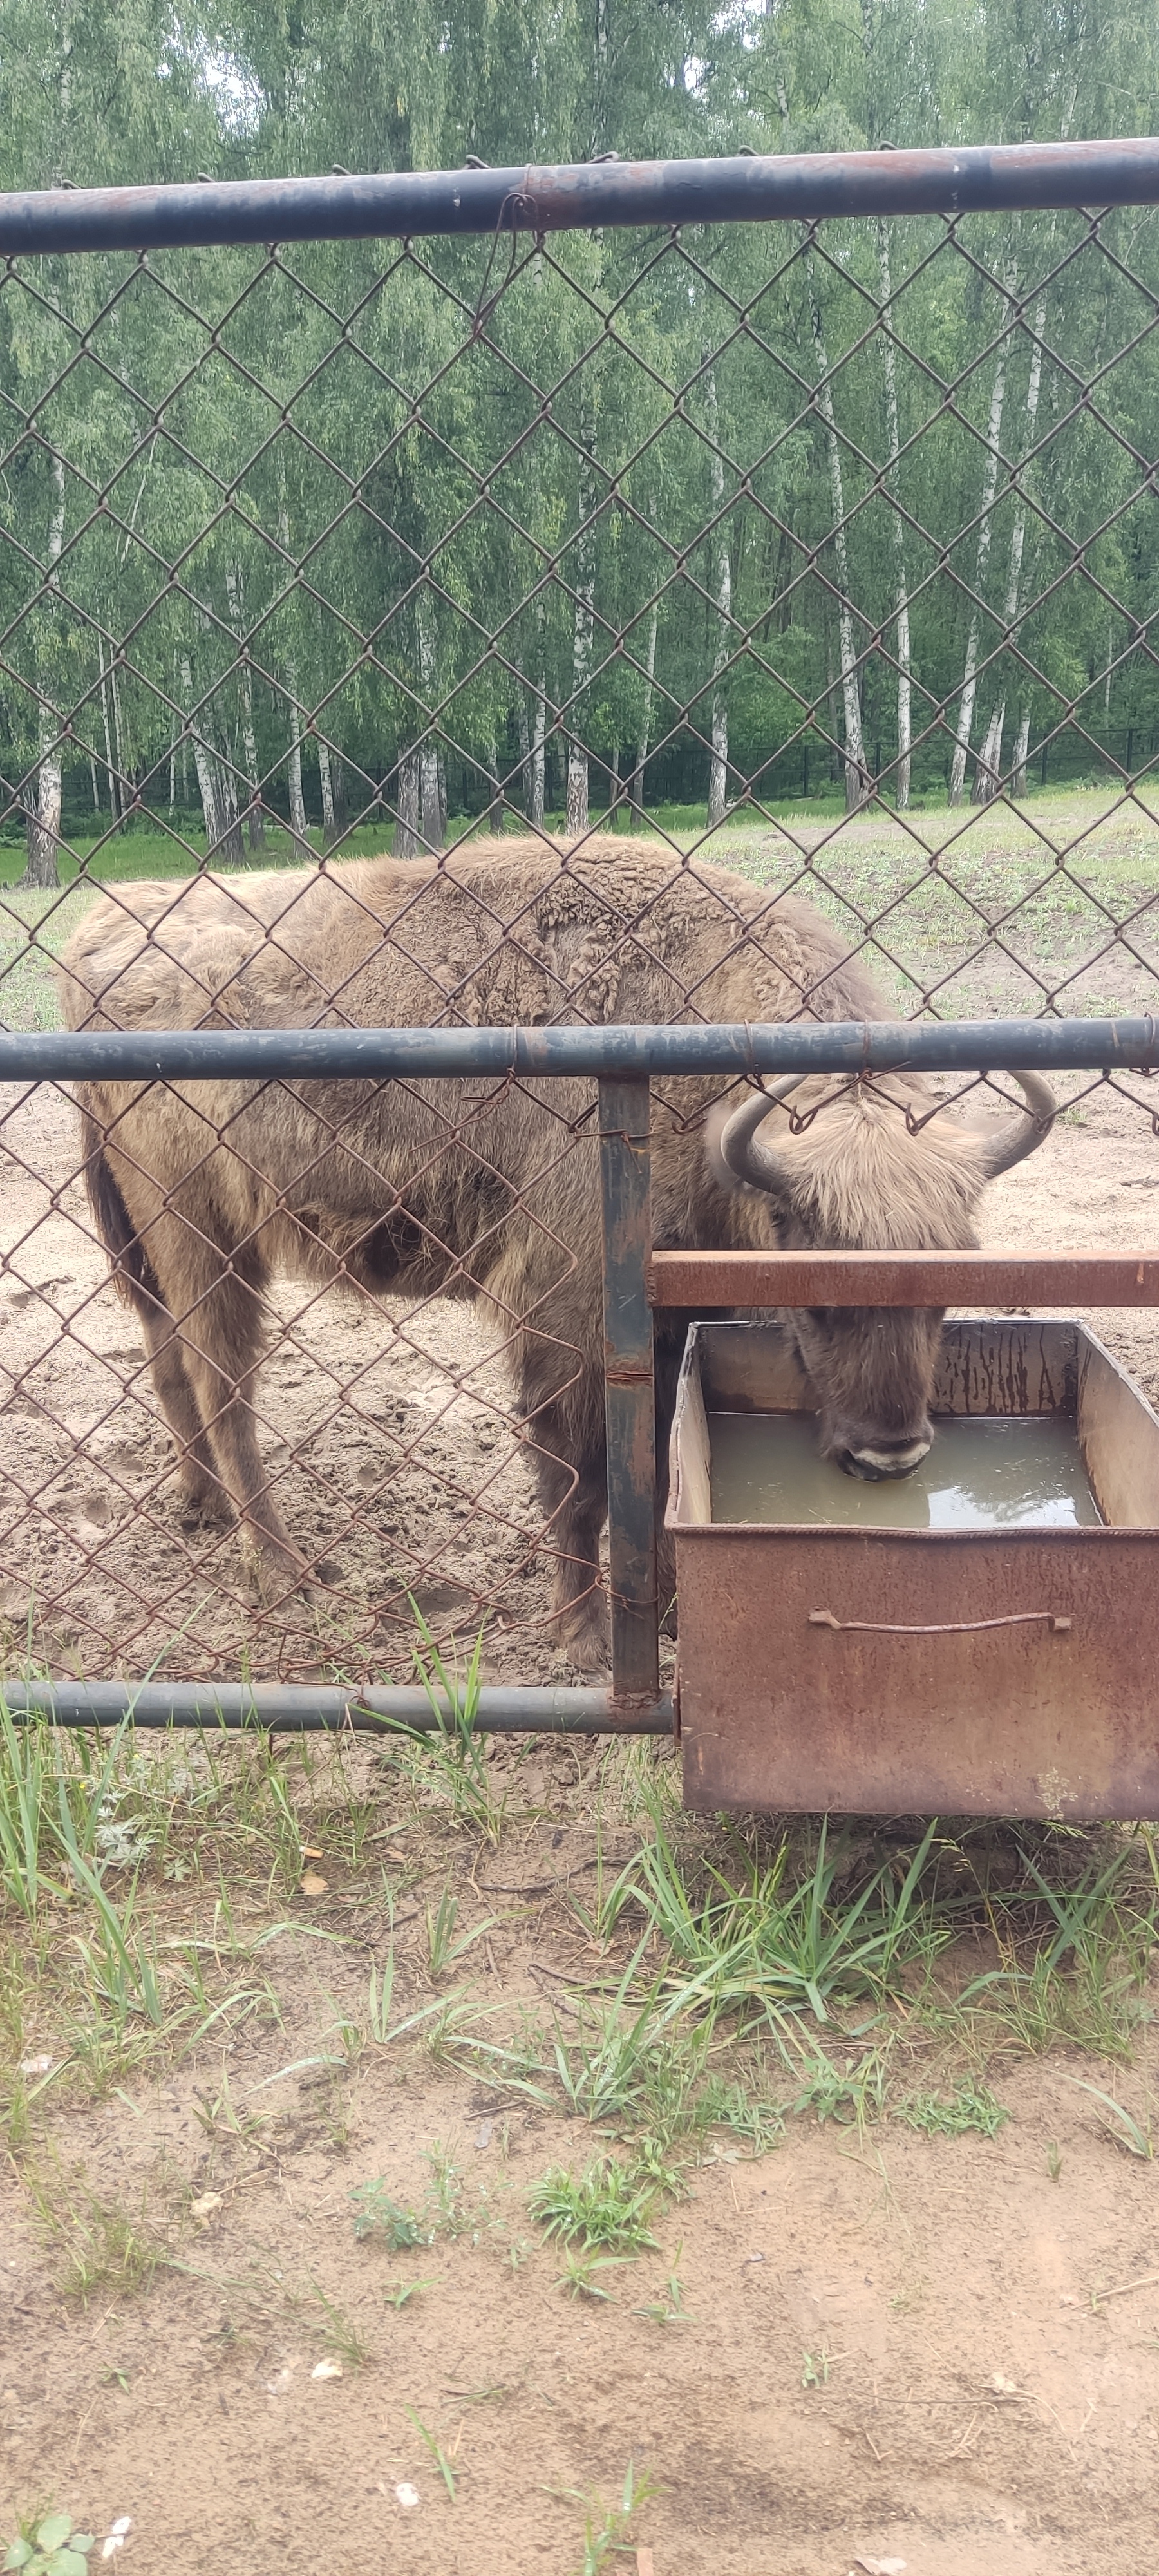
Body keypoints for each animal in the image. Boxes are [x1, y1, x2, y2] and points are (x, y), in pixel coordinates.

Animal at [61, 829, 1061, 1669]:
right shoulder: (570, 1316)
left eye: (951, 1291)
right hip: (202, 1236)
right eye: (813, 1295)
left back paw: (199, 1511)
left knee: (168, 1359)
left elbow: (662, 1459)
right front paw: (585, 1641)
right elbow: (583, 1478)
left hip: (155, 1237)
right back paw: (285, 1573)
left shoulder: (671, 1315)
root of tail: (97, 934)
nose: (889, 1460)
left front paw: (668, 1607)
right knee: (221, 1384)